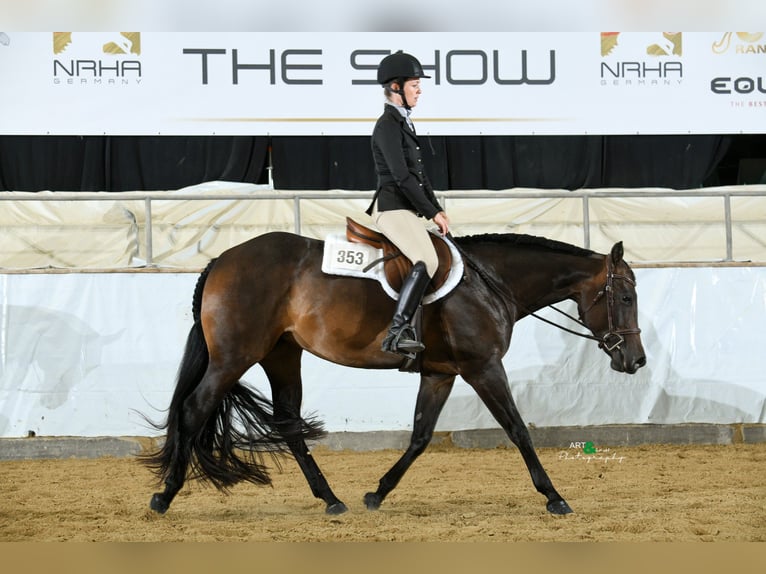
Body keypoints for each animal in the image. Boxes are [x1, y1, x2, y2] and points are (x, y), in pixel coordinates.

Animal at [141, 229, 645, 516]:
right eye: (625, 297)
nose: (636, 361)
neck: (489, 284)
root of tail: (223, 260)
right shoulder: (483, 367)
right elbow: (519, 430)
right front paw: (555, 496)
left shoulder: (441, 373)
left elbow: (420, 436)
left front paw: (377, 494)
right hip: (235, 355)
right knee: (194, 409)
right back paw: (165, 496)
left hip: (281, 355)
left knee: (287, 422)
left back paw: (332, 499)